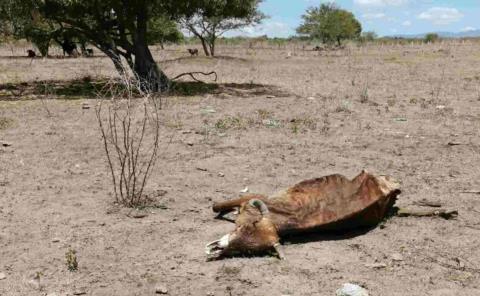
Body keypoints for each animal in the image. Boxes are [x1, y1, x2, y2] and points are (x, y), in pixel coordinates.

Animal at [206, 170, 402, 260]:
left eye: (247, 252)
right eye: (243, 229)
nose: (215, 249)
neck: (277, 221)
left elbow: (219, 206)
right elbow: (219, 207)